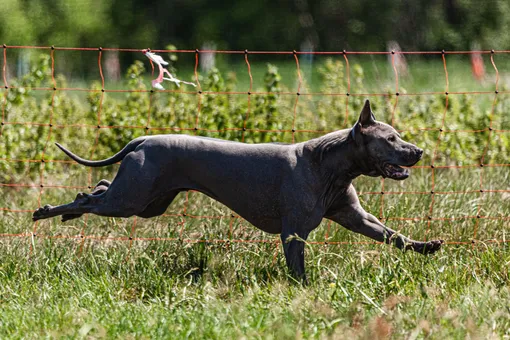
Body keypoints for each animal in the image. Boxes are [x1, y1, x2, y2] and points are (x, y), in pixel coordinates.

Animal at [34, 99, 442, 280]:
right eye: (390, 139)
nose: (418, 152)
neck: (332, 165)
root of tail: (143, 139)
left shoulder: (356, 217)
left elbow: (393, 235)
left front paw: (427, 246)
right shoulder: (293, 231)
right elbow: (298, 266)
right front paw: (303, 289)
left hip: (148, 201)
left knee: (98, 188)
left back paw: (69, 211)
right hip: (132, 199)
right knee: (92, 198)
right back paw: (47, 212)